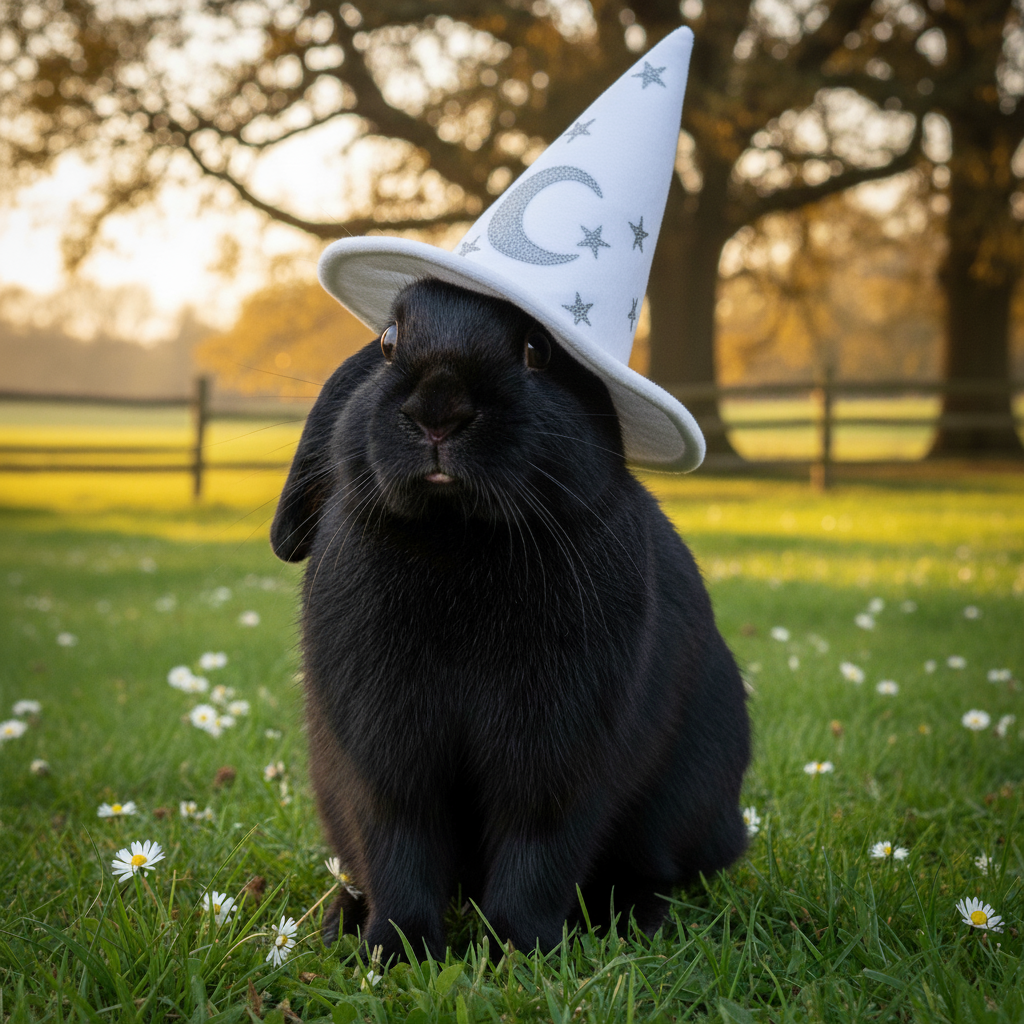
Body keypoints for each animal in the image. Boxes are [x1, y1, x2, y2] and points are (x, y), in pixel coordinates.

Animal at [271, 277, 751, 962]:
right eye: (388, 341)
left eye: (538, 350)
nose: (438, 412)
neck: (459, 538)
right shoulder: (386, 761)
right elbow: (399, 843)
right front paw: (396, 953)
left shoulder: (557, 759)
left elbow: (537, 852)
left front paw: (518, 953)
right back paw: (342, 920)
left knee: (654, 870)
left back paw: (635, 921)